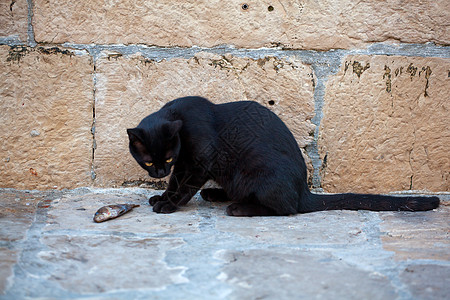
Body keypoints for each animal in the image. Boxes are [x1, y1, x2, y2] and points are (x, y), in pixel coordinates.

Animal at [126, 96, 440, 216]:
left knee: (286, 208)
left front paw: (167, 204)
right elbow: (176, 183)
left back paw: (239, 208)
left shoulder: (196, 164)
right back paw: (215, 195)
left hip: (256, 172)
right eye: (149, 161)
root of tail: (304, 191)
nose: (159, 173)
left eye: (166, 160)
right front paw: (161, 196)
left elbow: (182, 186)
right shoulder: (187, 164)